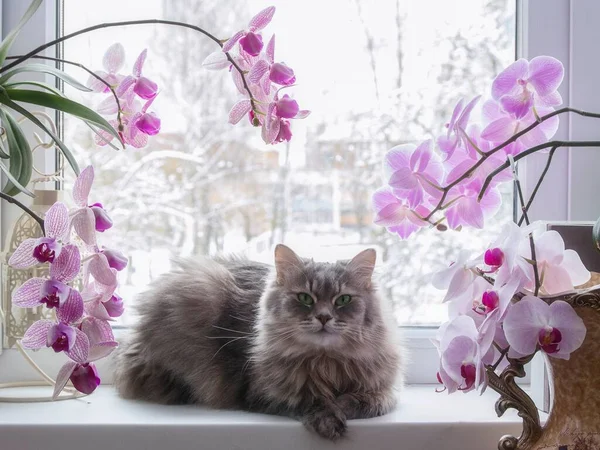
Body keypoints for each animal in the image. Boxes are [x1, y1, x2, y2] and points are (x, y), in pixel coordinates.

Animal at [112, 244, 404, 442]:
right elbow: (308, 400)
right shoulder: (260, 391)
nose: (323, 317)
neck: (326, 362)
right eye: (305, 298)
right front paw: (327, 418)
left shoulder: (385, 392)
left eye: (343, 300)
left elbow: (359, 402)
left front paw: (338, 407)